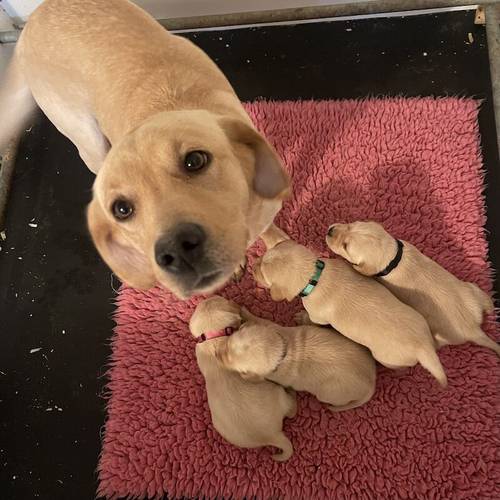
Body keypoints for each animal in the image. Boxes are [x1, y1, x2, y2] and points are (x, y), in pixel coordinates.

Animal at [0, 0, 290, 296]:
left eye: (195, 160)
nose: (176, 252)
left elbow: (270, 233)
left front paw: (278, 245)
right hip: (88, 140)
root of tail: (34, 17)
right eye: (121, 209)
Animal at [215, 306, 376, 412]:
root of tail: (371, 384)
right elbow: (261, 320)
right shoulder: (273, 326)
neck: (283, 350)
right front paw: (244, 312)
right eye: (228, 343)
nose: (216, 353)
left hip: (329, 394)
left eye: (238, 368)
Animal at [254, 226, 450, 386]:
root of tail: (423, 346)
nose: (252, 267)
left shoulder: (317, 315)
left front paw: (300, 317)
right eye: (262, 257)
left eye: (262, 274)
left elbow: (311, 319)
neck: (316, 275)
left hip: (387, 357)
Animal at [326, 220, 498, 356]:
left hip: (443, 335)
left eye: (345, 246)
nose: (330, 230)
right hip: (473, 290)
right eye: (351, 224)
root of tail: (474, 330)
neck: (393, 257)